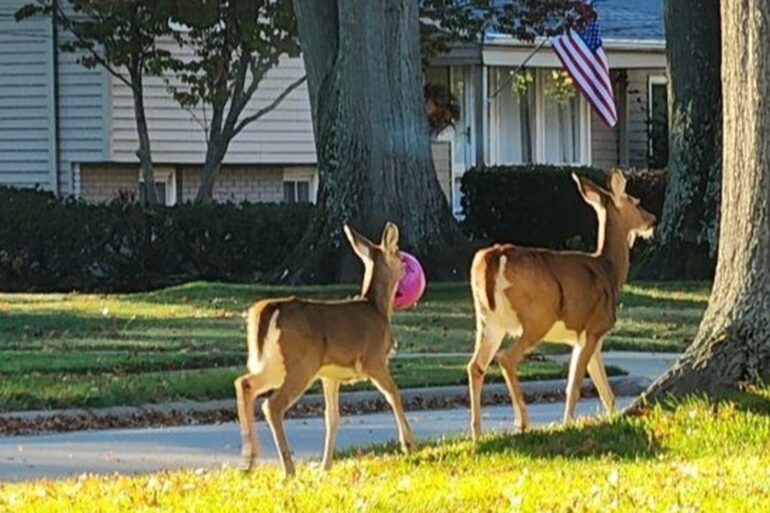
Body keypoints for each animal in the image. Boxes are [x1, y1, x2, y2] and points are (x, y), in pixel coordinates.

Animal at [234, 222, 415, 477]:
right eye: (399, 254)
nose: (407, 266)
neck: (378, 308)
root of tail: (268, 309)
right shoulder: (373, 360)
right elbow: (394, 394)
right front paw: (408, 444)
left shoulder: (330, 375)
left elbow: (332, 417)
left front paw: (325, 466)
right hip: (301, 363)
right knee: (272, 405)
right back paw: (288, 468)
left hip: (276, 363)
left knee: (244, 383)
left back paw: (249, 460)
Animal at [466, 169, 656, 440]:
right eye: (637, 202)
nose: (653, 219)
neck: (609, 270)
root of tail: (494, 257)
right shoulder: (594, 327)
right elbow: (574, 385)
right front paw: (567, 423)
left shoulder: (587, 336)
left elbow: (605, 391)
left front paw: (611, 418)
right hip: (537, 318)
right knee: (506, 358)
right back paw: (522, 422)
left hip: (487, 321)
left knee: (475, 366)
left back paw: (477, 431)